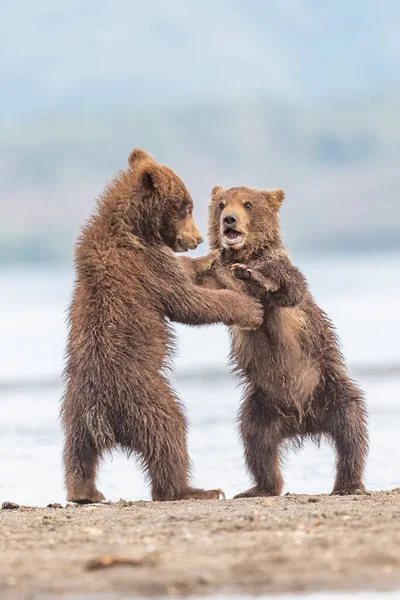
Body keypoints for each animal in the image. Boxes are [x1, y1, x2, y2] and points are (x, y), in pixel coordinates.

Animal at [61, 152, 262, 504]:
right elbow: (188, 302)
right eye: (186, 207)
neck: (133, 228)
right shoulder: (147, 267)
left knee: (77, 451)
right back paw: (195, 489)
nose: (197, 240)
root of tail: (103, 416)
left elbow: (183, 274)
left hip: (74, 410)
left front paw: (209, 257)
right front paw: (250, 309)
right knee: (168, 433)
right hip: (144, 395)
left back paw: (85, 492)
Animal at [181, 186, 368, 496]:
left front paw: (252, 273)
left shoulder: (282, 276)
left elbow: (288, 286)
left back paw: (348, 483)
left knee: (351, 431)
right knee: (257, 443)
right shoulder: (219, 287)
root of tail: (303, 421)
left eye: (248, 204)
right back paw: (258, 488)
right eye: (221, 204)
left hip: (330, 387)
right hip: (262, 403)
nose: (229, 219)